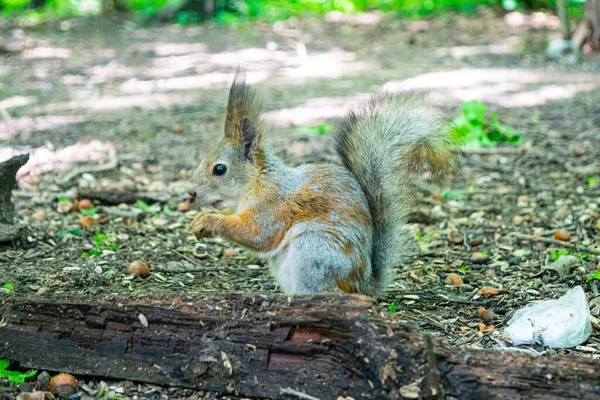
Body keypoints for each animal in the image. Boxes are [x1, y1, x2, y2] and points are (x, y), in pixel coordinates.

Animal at [189, 74, 460, 296]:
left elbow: (257, 235)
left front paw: (208, 221)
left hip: (313, 251)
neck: (257, 182)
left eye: (219, 169)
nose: (191, 192)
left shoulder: (273, 206)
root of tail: (363, 286)